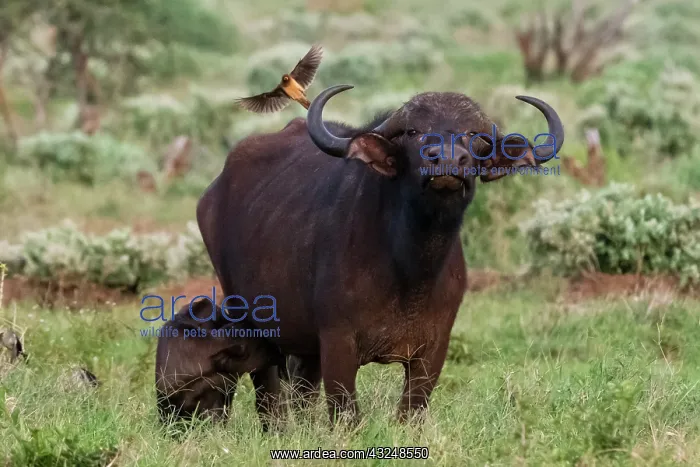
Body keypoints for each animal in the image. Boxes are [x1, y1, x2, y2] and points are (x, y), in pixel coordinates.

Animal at [196, 84, 564, 427]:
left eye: (475, 135)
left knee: (302, 391)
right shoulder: (338, 344)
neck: (410, 271)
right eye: (413, 131)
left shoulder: (432, 351)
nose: (446, 160)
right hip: (248, 319)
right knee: (269, 391)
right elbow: (346, 415)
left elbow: (410, 413)